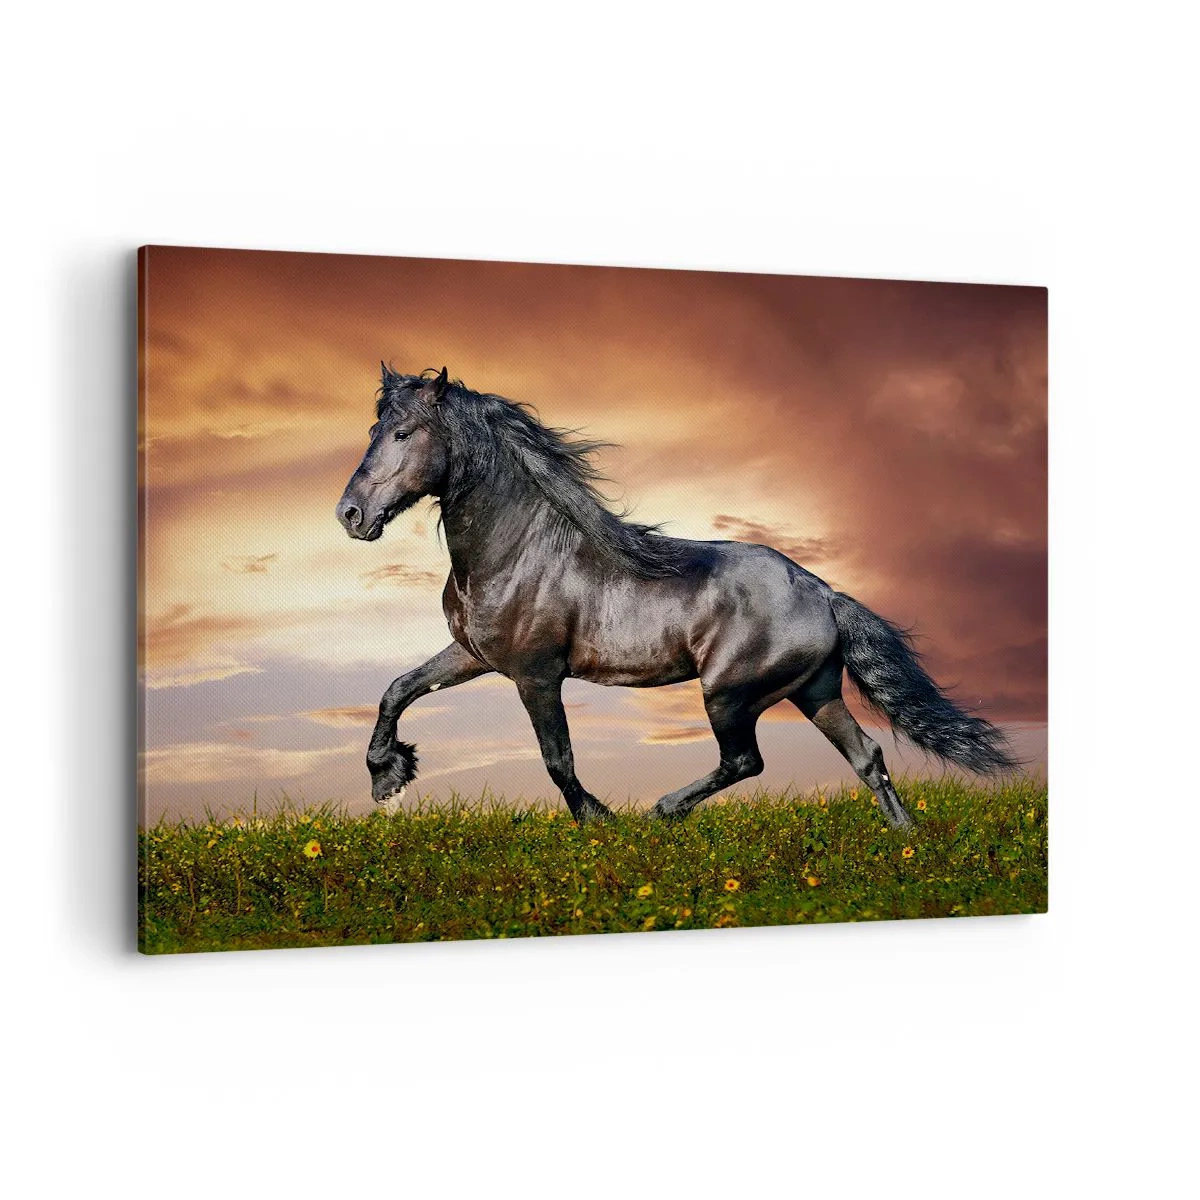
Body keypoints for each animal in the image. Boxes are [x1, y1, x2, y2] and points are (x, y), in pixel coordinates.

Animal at [336, 366, 1015, 828]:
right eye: (374, 428)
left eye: (404, 433)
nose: (350, 514)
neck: (517, 552)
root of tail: (822, 591)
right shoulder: (474, 655)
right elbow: (398, 689)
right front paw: (388, 776)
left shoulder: (536, 674)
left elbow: (558, 759)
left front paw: (599, 820)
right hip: (814, 691)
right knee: (867, 755)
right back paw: (903, 839)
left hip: (729, 693)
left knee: (746, 762)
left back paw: (662, 811)